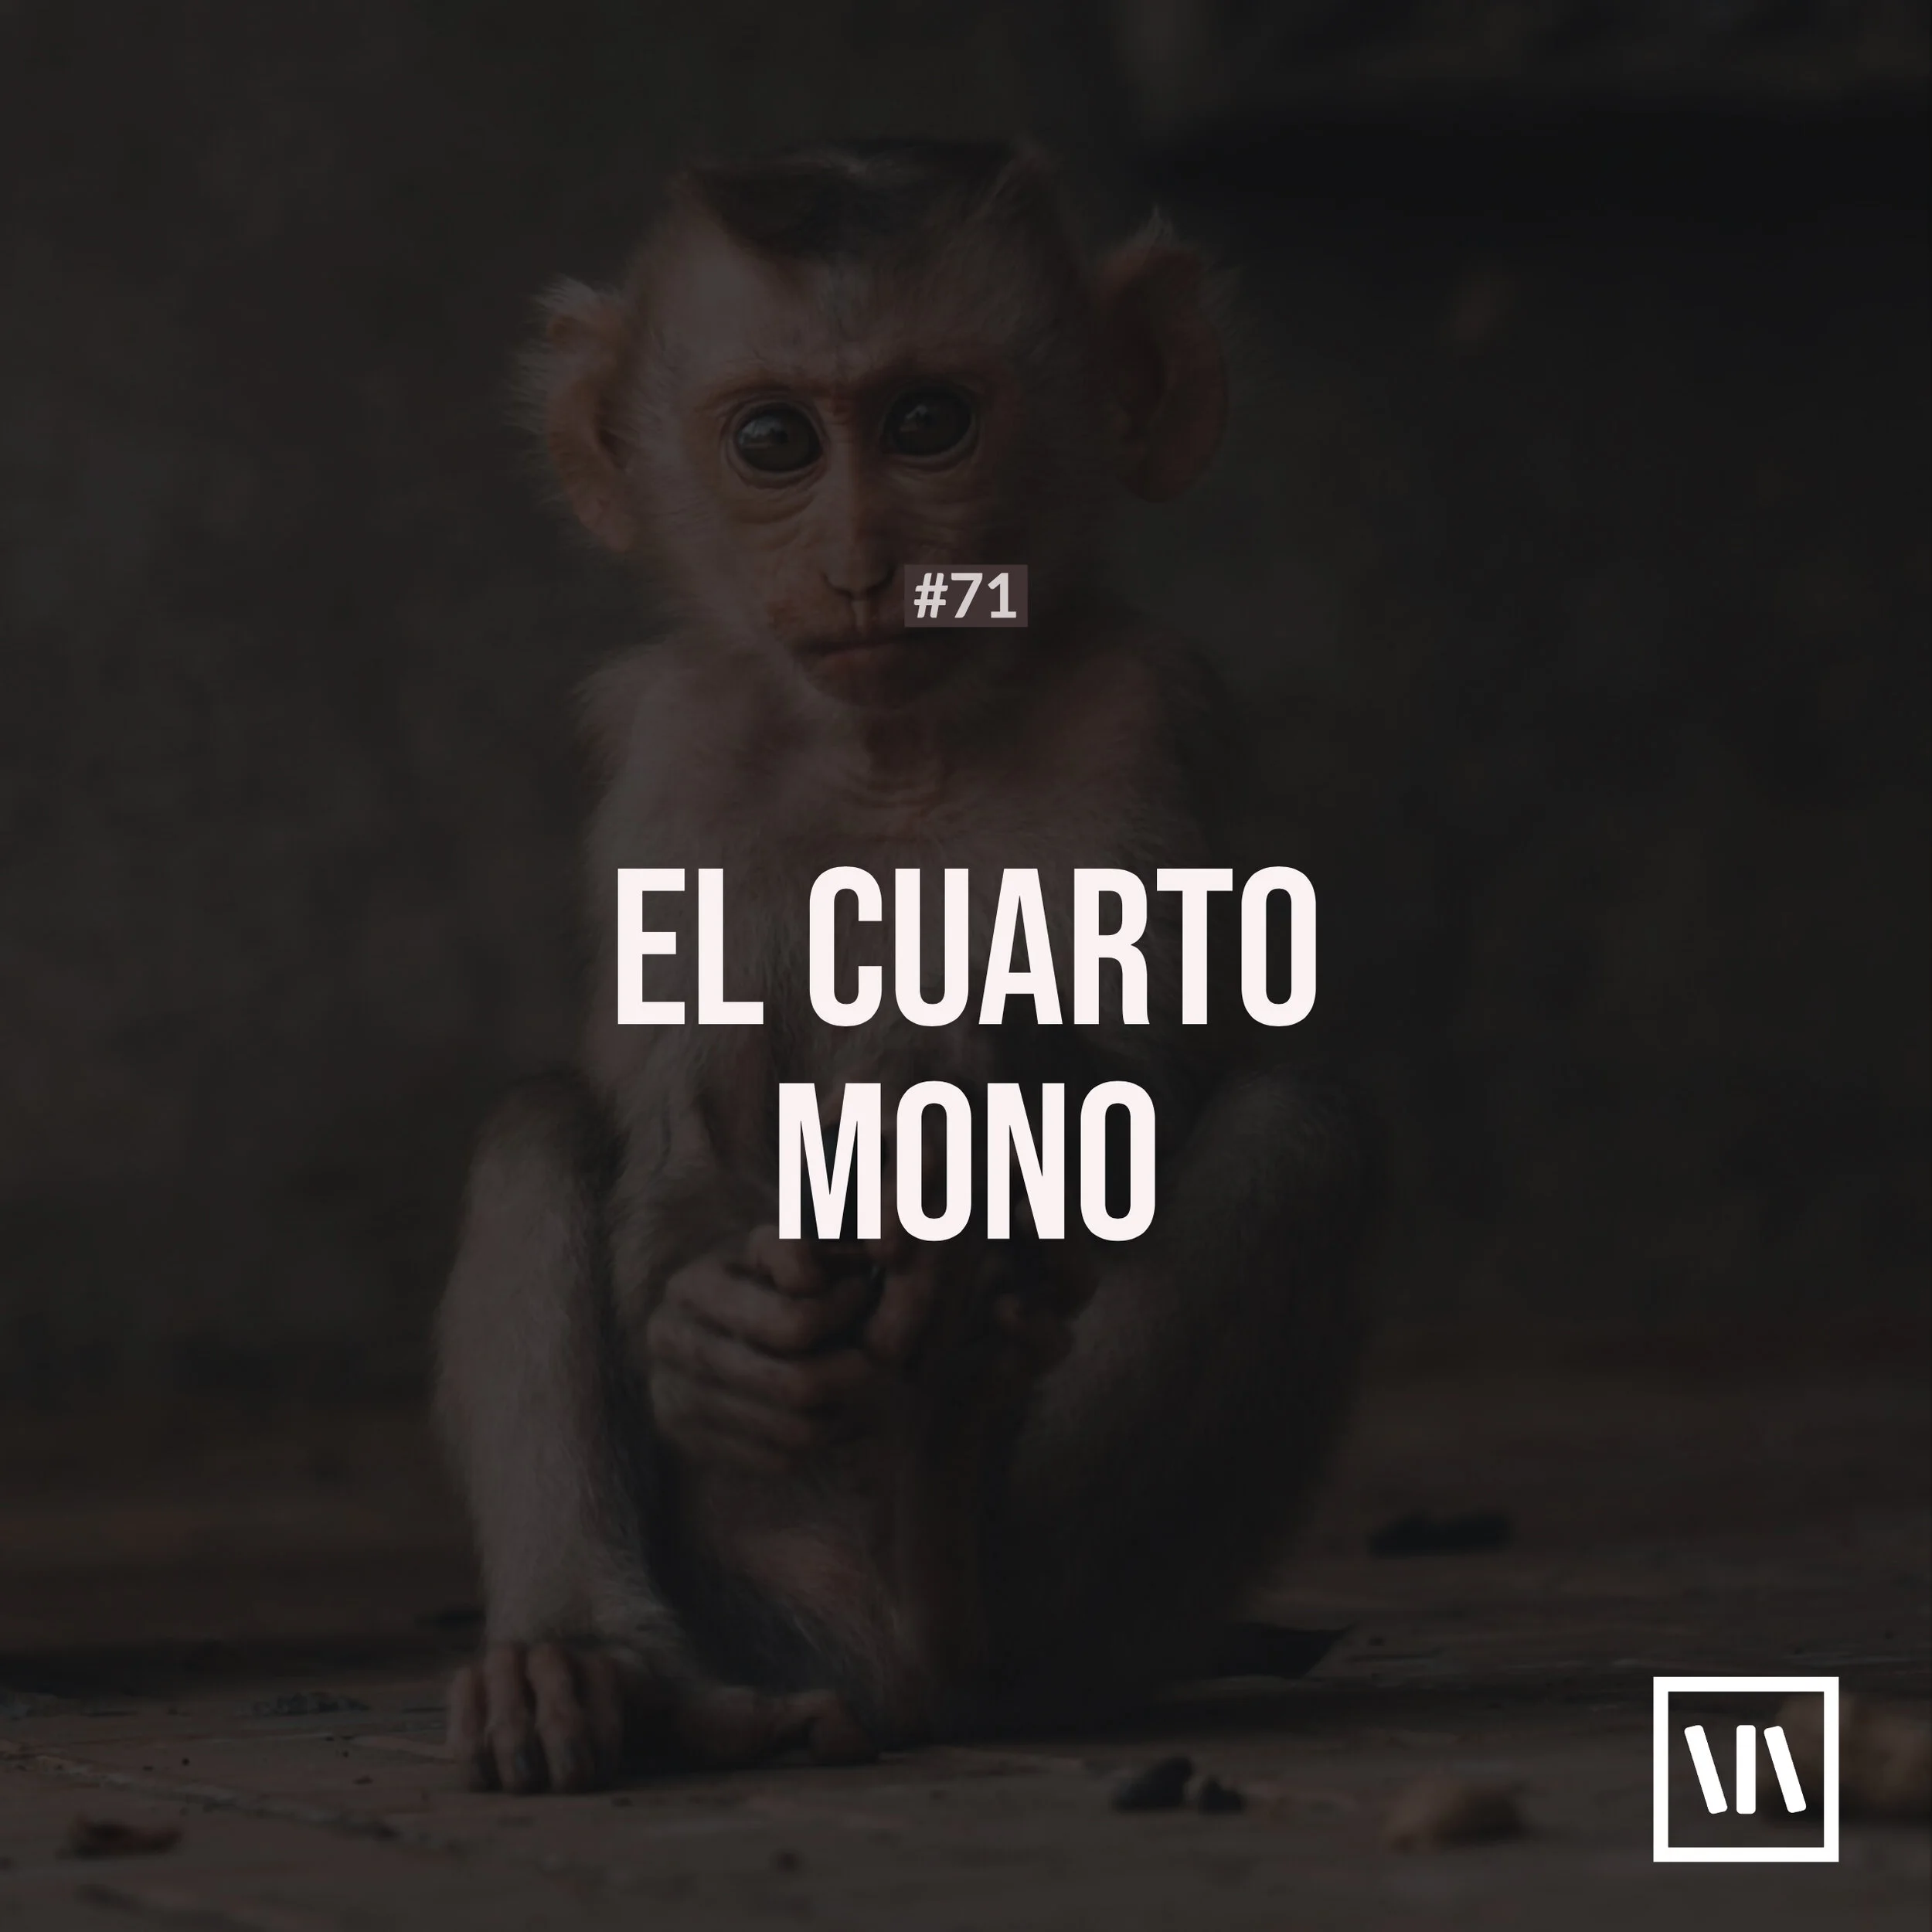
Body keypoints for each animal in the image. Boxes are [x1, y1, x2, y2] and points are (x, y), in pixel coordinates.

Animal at [435, 139, 1373, 1794]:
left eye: (931, 423)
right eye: (775, 441)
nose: (864, 564)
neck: (898, 746)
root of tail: (869, 1671)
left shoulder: (1130, 708)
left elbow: (1136, 1083)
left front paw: (959, 1093)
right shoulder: (681, 738)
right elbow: (665, 1125)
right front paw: (706, 1329)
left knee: (1295, 1136)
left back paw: (961, 1565)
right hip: (741, 1587)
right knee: (538, 1130)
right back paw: (603, 1673)